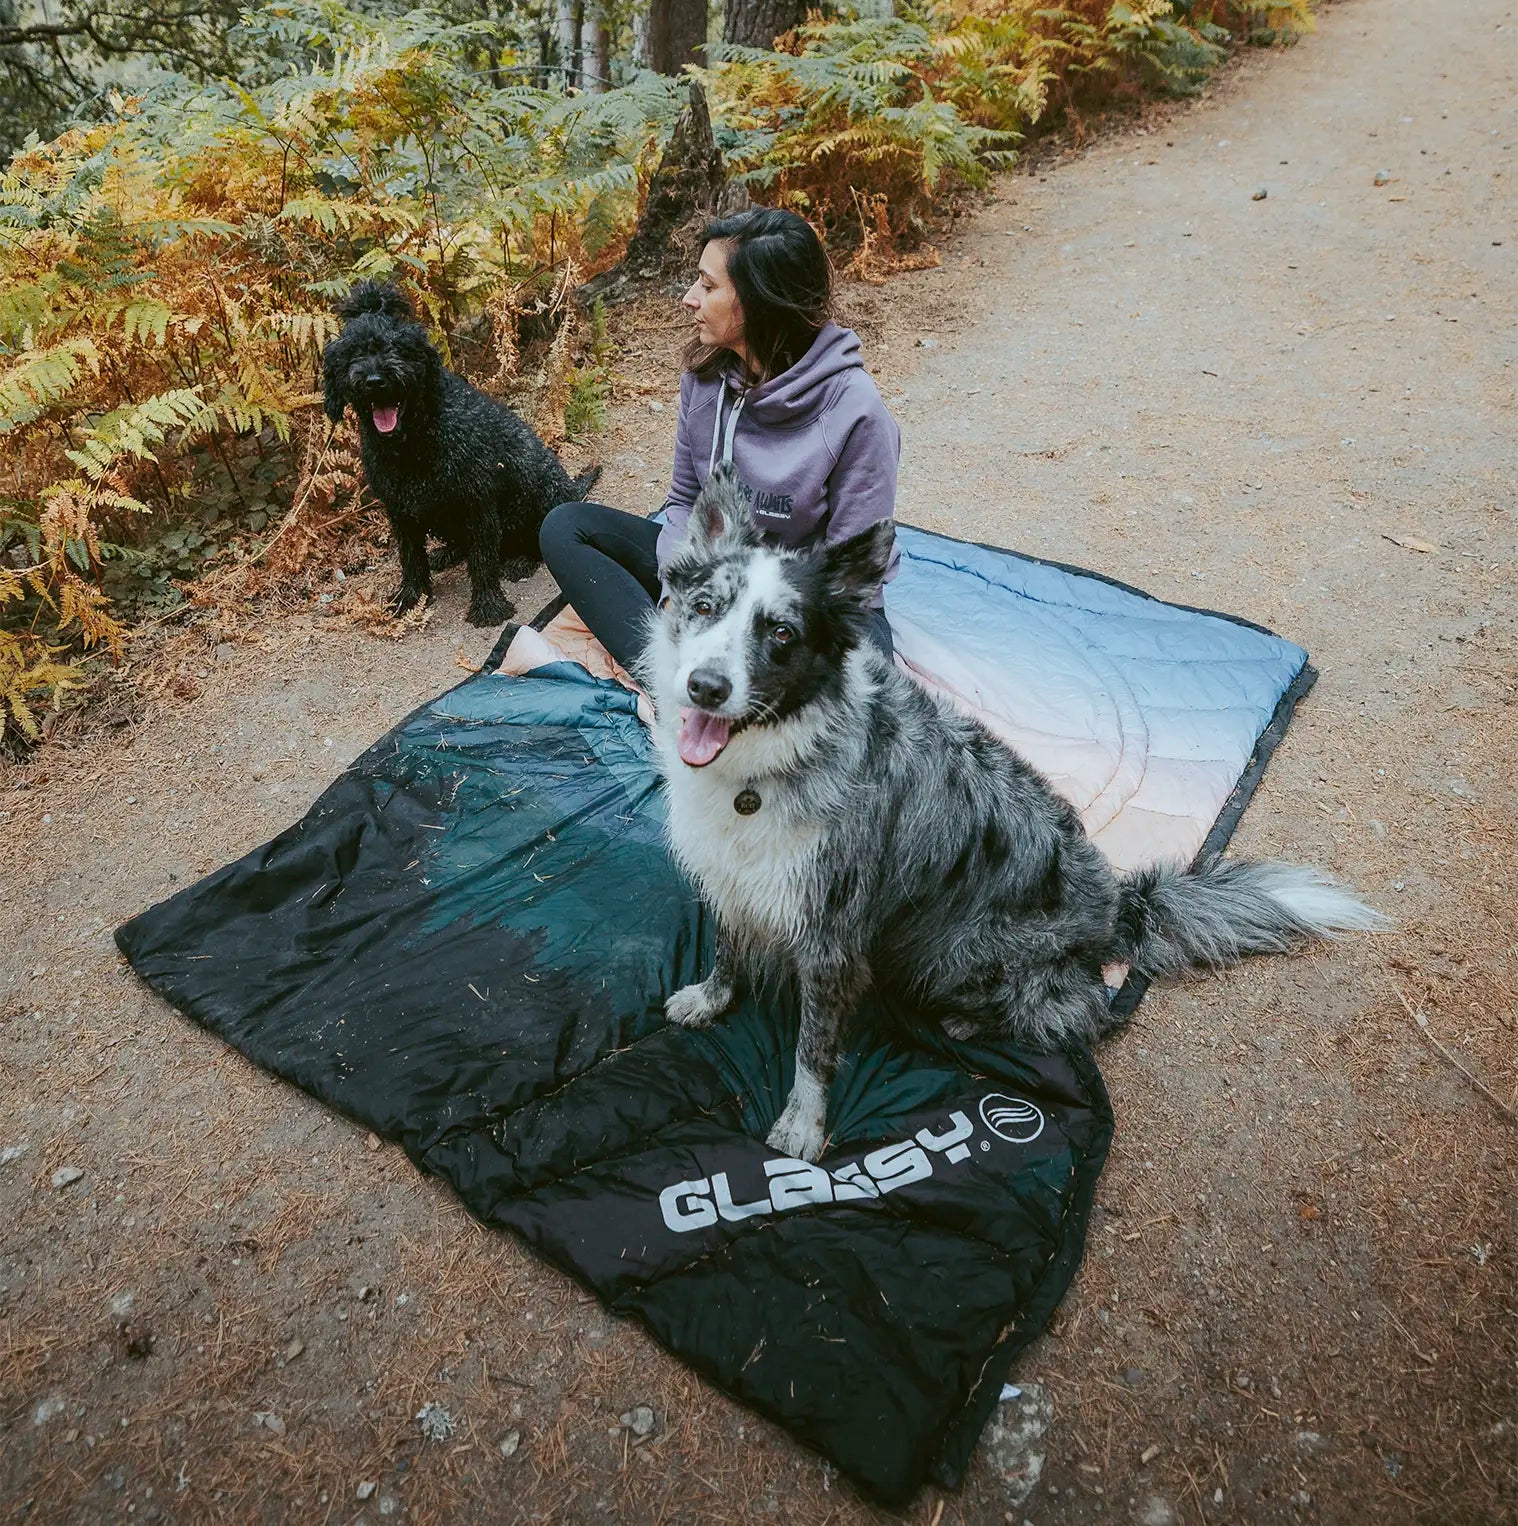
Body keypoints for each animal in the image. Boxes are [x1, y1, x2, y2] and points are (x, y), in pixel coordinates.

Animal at [322, 282, 600, 625]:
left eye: (397, 349)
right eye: (354, 354)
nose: (375, 381)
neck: (413, 444)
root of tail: (570, 488)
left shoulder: (477, 504)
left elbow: (482, 561)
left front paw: (488, 604)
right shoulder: (400, 511)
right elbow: (411, 559)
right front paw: (410, 597)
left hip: (537, 489)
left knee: (534, 541)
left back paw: (520, 560)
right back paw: (447, 553)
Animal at [643, 465, 1390, 1163]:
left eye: (781, 633)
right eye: (705, 606)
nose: (704, 687)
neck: (770, 763)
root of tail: (1119, 909)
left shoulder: (833, 939)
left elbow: (813, 1047)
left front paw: (803, 1126)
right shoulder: (733, 879)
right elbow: (728, 950)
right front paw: (710, 998)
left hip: (953, 950)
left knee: (1082, 1012)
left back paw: (970, 1023)